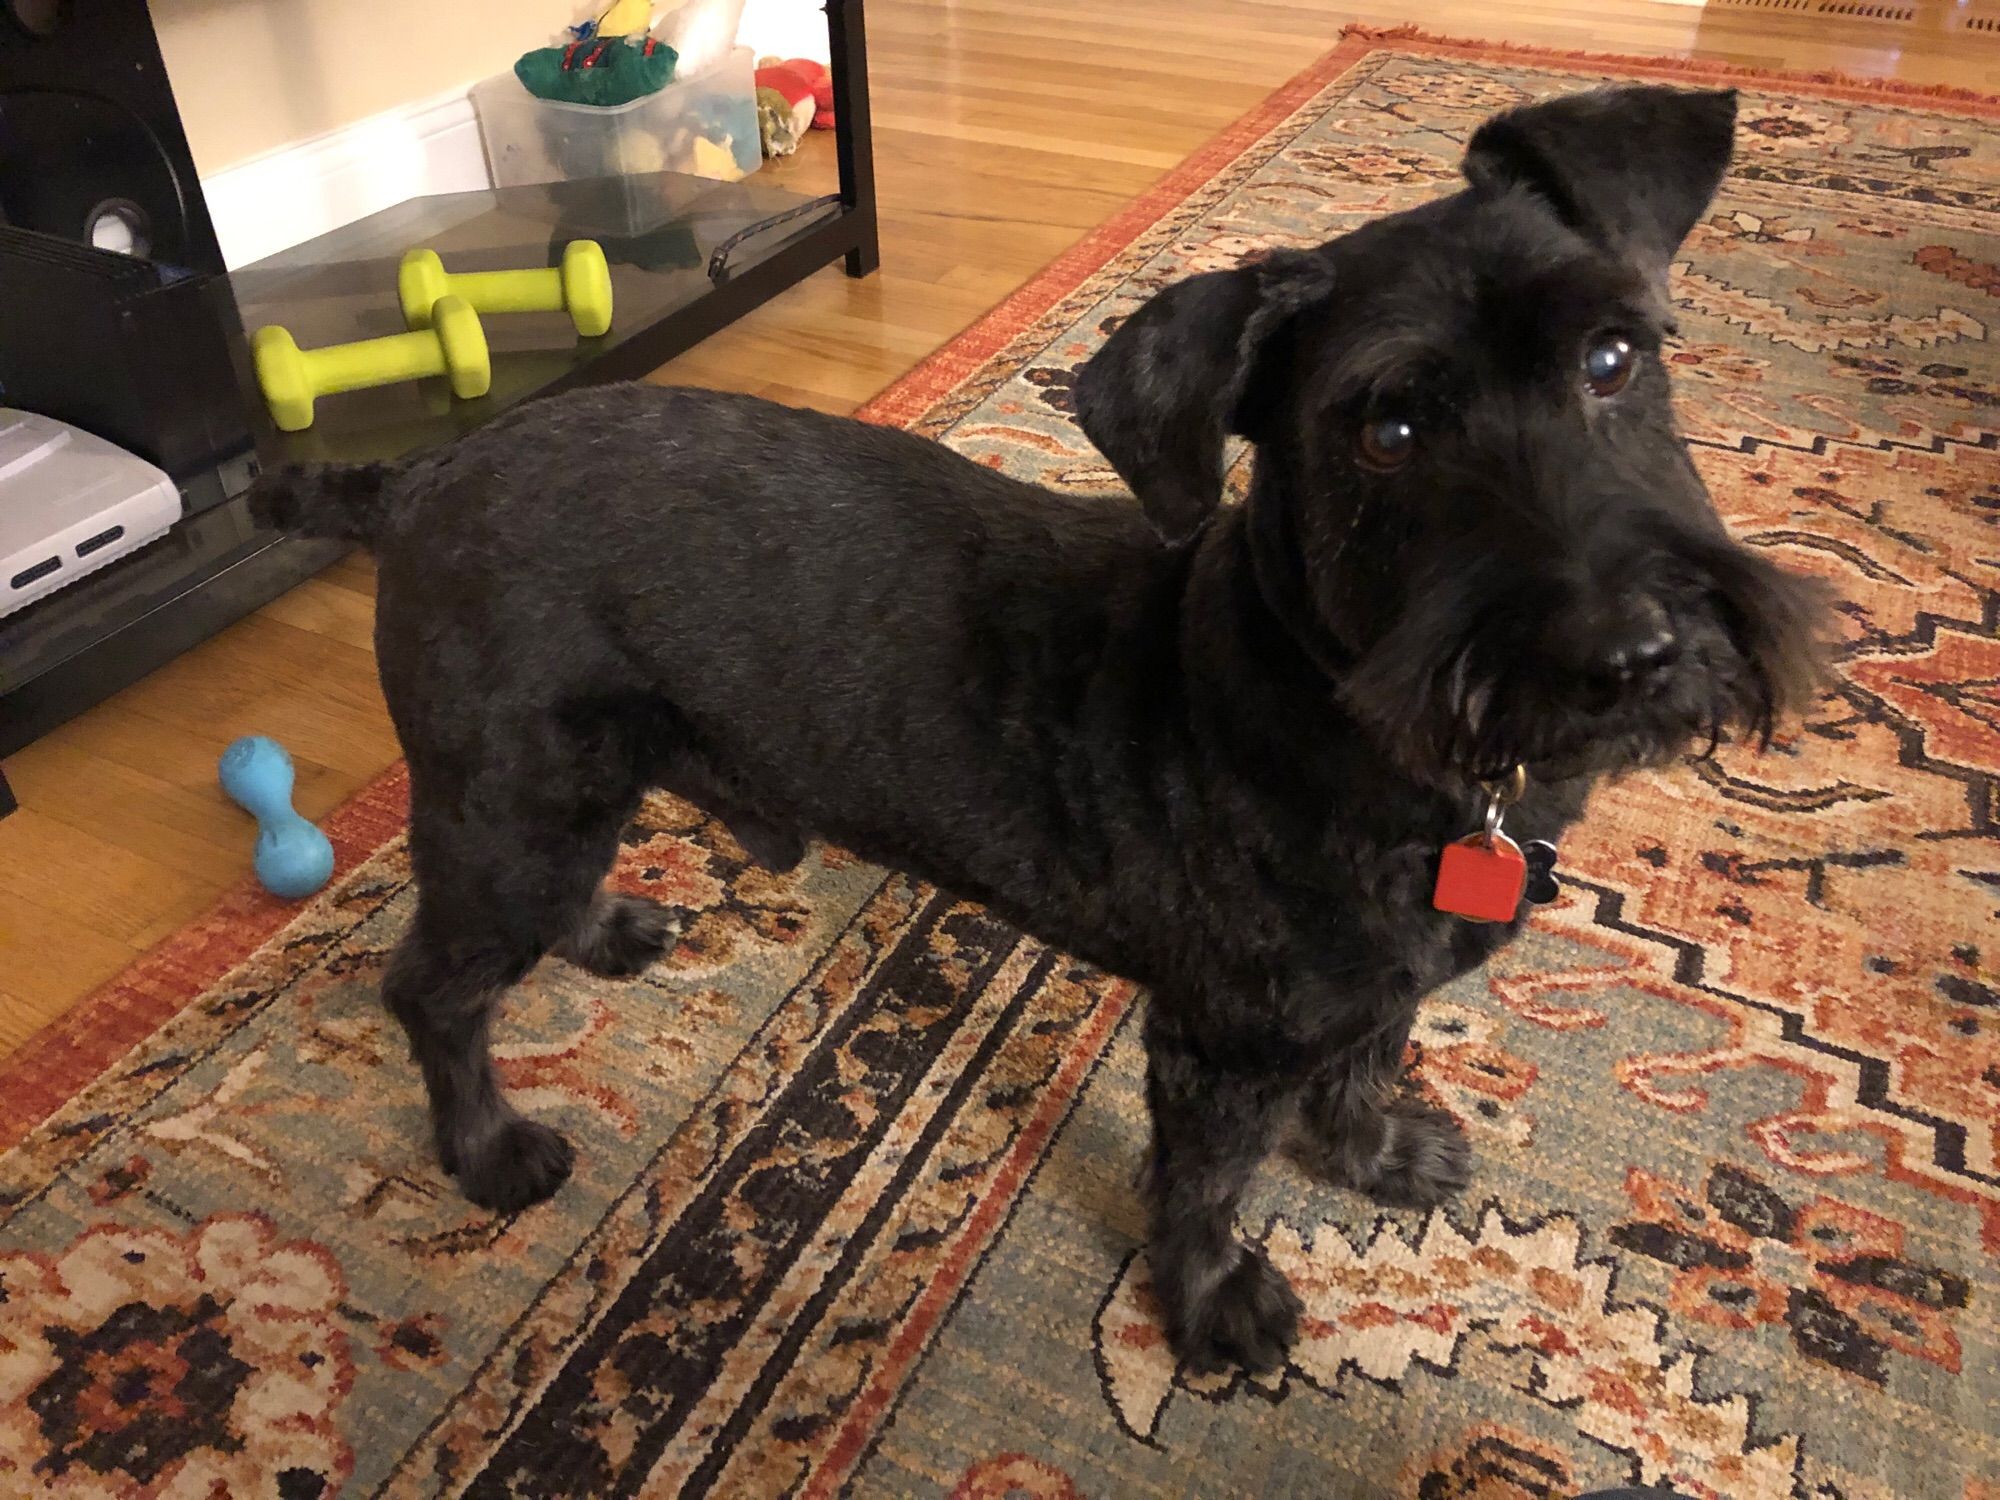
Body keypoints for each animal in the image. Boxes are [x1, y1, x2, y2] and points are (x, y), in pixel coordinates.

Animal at [254, 79, 1832, 1376]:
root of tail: (412, 481)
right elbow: (1202, 1183)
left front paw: (1375, 1148)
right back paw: (485, 1148)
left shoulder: (1373, 989)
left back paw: (602, 934)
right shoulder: (1219, 1044)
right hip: (512, 800)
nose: (1623, 655)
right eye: (1382, 434)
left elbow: (1369, 1059)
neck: (1385, 742)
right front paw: (1211, 1306)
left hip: (566, 793)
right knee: (434, 989)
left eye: (1614, 356)